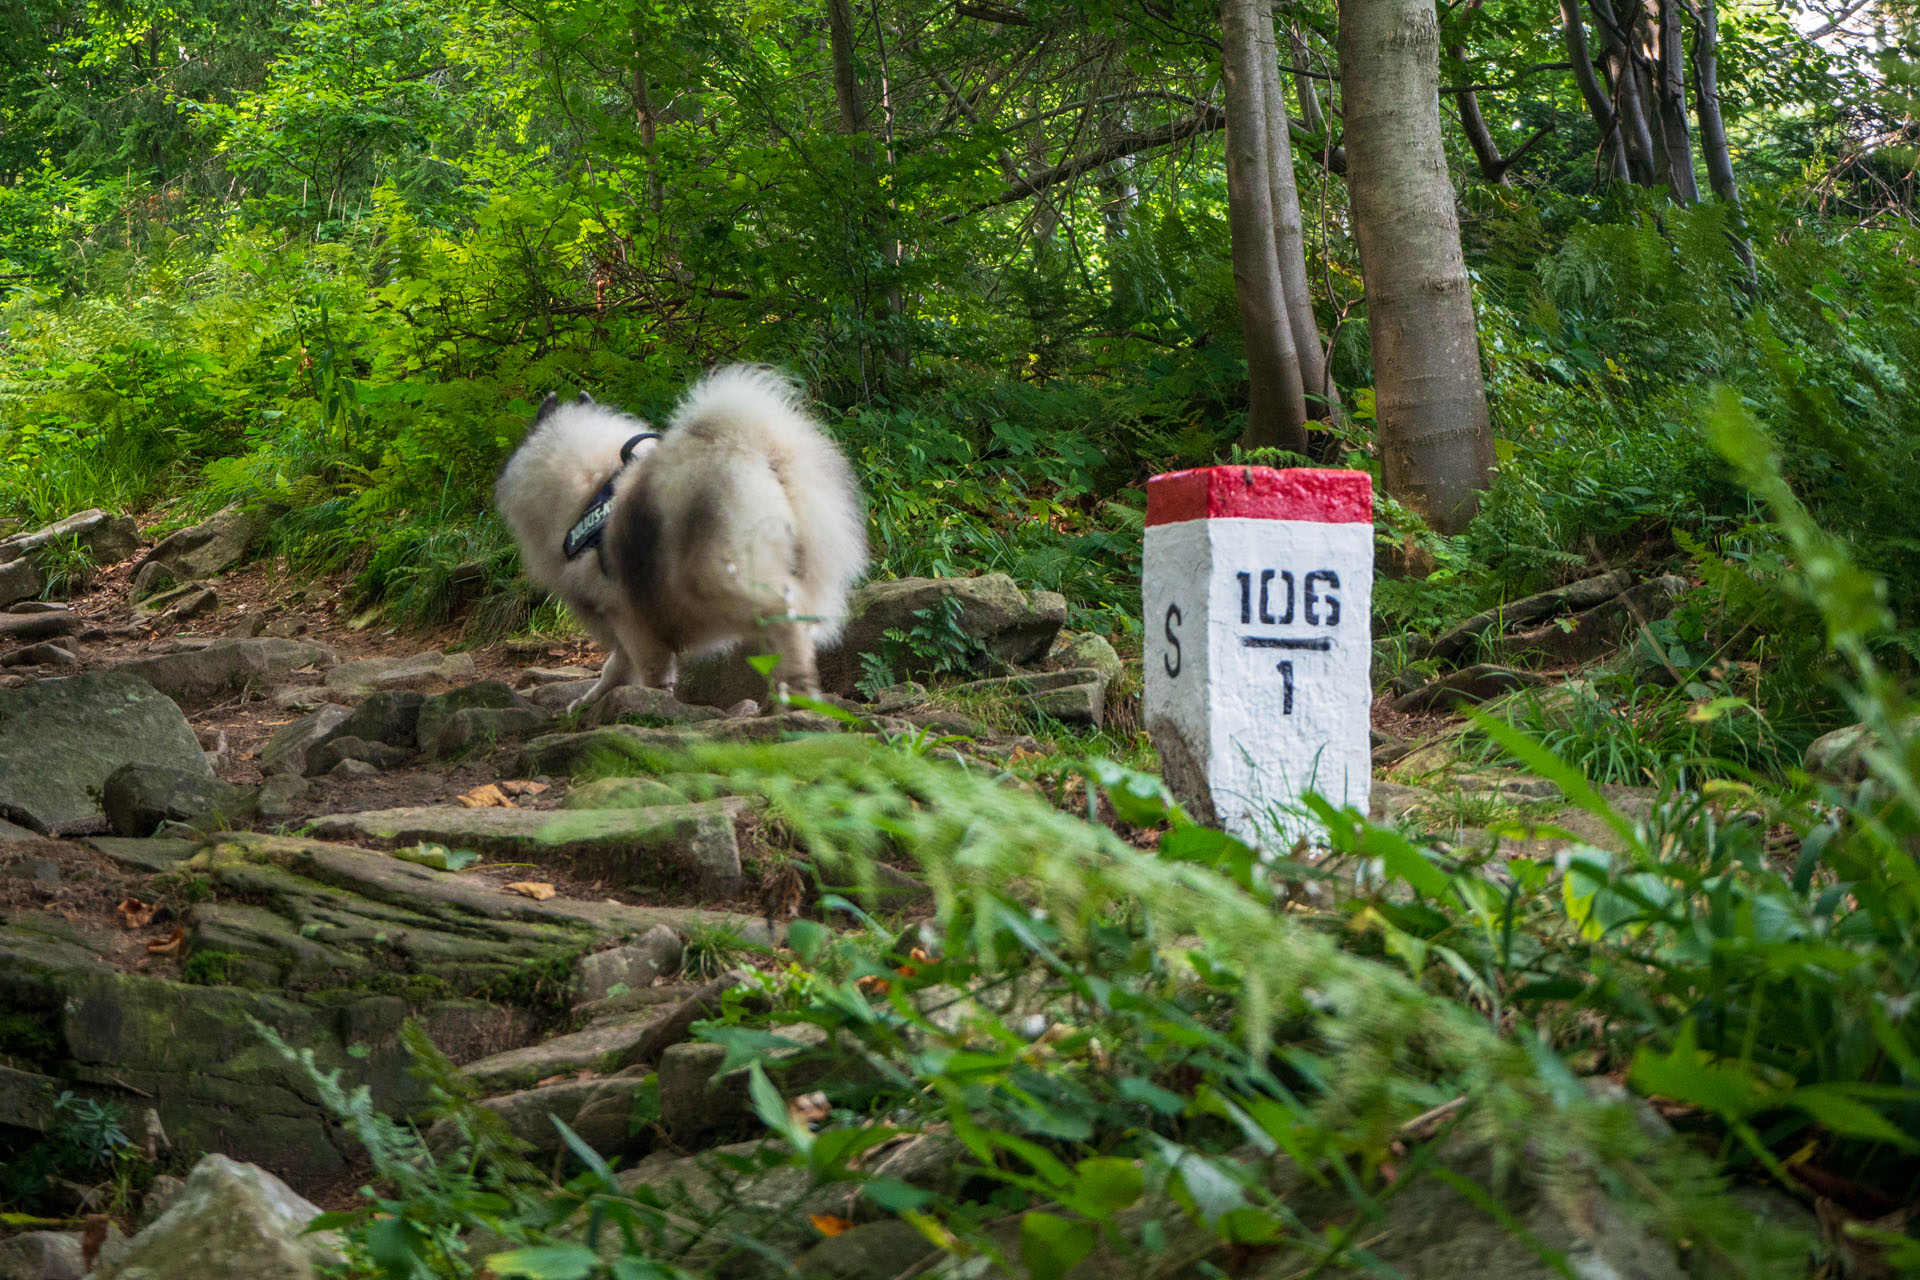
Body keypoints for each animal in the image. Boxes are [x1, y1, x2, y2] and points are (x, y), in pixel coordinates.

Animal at [495, 364, 864, 710]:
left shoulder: (624, 610)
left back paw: (796, 694)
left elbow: (647, 665)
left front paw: (650, 700)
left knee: (785, 619)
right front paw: (592, 699)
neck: (590, 488)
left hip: (718, 578)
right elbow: (616, 665)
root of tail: (751, 448)